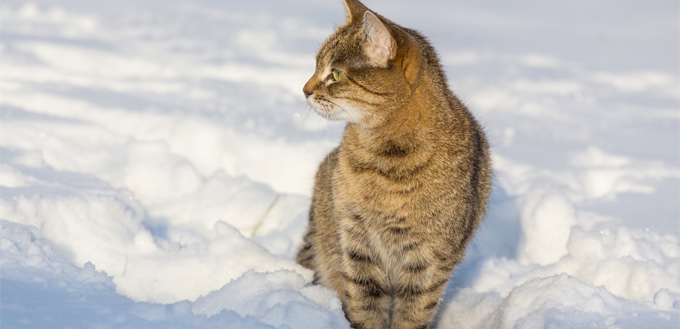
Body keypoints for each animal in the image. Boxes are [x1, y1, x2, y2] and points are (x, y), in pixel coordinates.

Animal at [294, 1, 492, 326]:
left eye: (336, 73)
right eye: (316, 65)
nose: (305, 90)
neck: (384, 161)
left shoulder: (430, 258)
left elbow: (413, 313)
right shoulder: (356, 242)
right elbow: (365, 304)